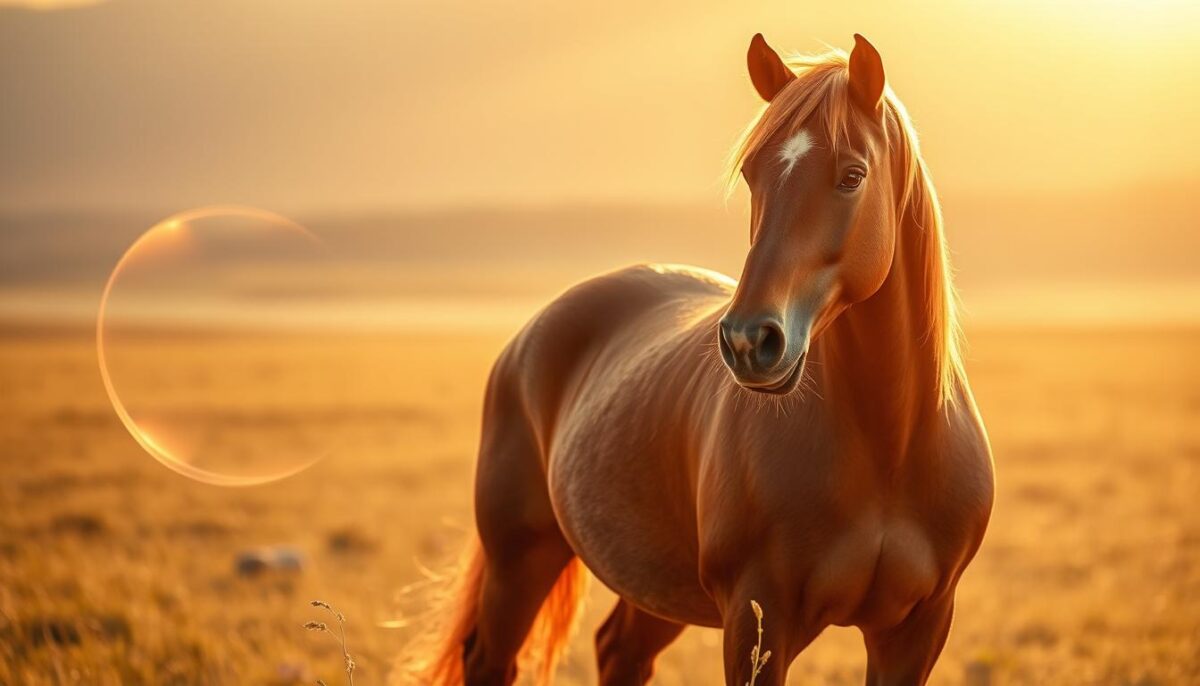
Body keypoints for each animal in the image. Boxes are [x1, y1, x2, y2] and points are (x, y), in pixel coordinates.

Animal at [410, 32, 994, 686]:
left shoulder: (917, 629)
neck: (888, 446)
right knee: (492, 657)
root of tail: (533, 333)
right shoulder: (756, 617)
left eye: (852, 175)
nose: (747, 341)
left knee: (619, 649)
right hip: (520, 562)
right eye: (751, 173)